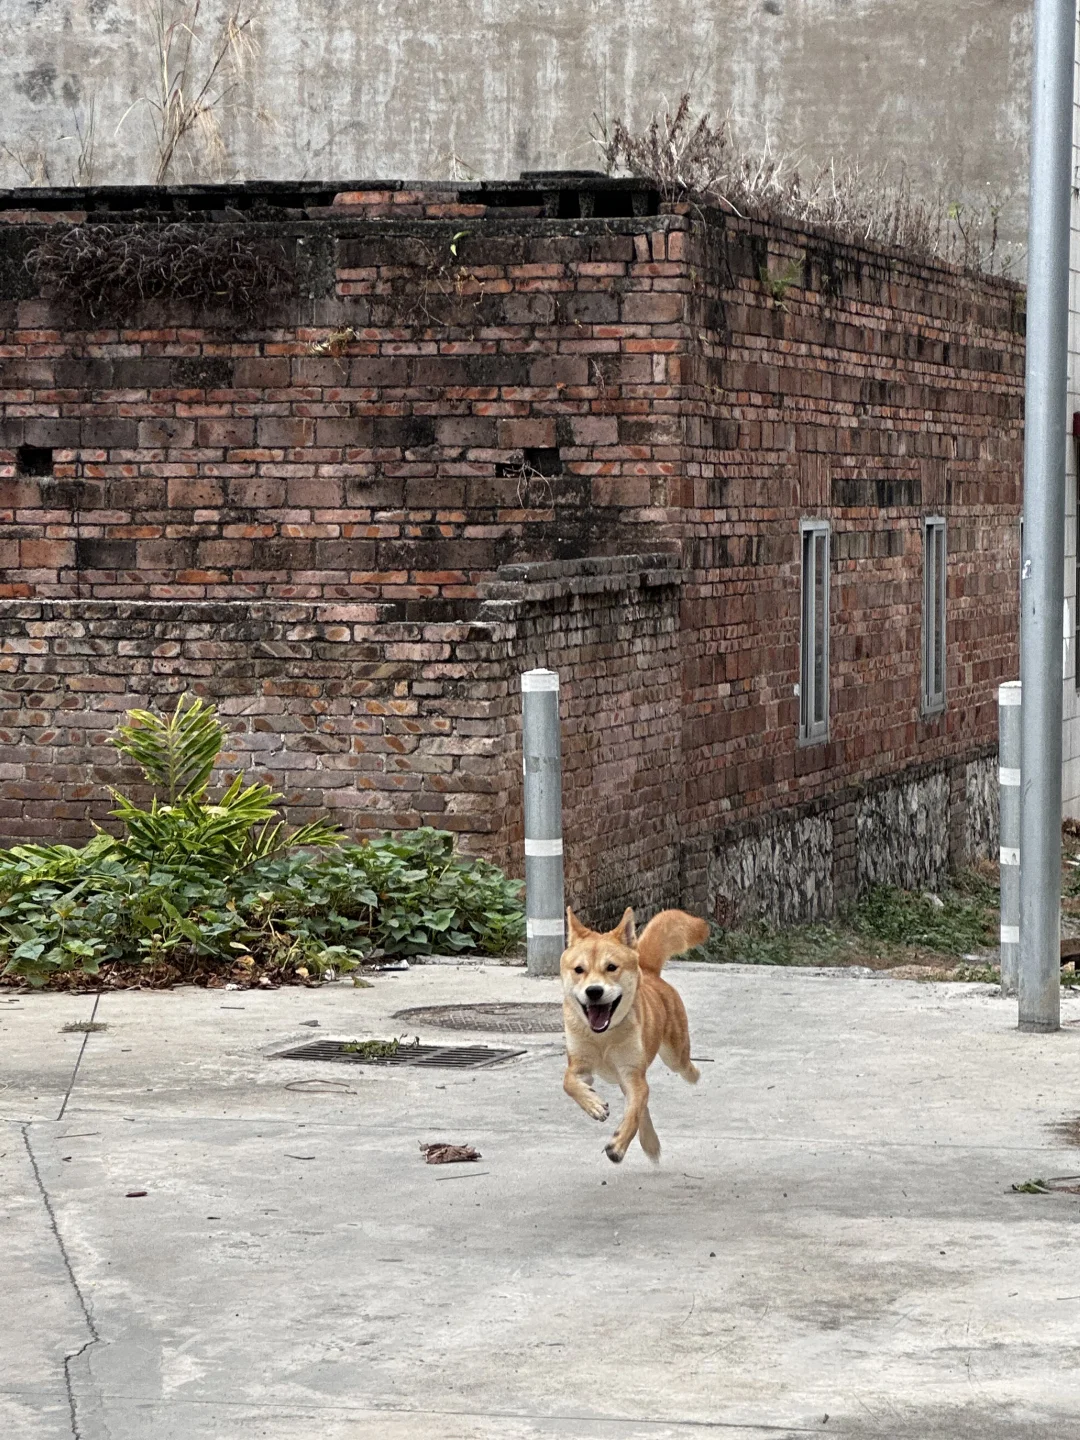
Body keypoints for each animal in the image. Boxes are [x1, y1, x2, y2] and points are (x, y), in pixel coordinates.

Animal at [561, 904, 714, 1163]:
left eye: (611, 967)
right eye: (579, 970)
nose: (594, 991)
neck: (604, 1038)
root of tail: (649, 970)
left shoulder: (632, 1073)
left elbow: (633, 1114)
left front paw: (618, 1146)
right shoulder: (581, 1066)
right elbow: (569, 1083)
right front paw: (593, 1105)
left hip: (674, 1057)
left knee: (676, 1075)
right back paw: (650, 1142)